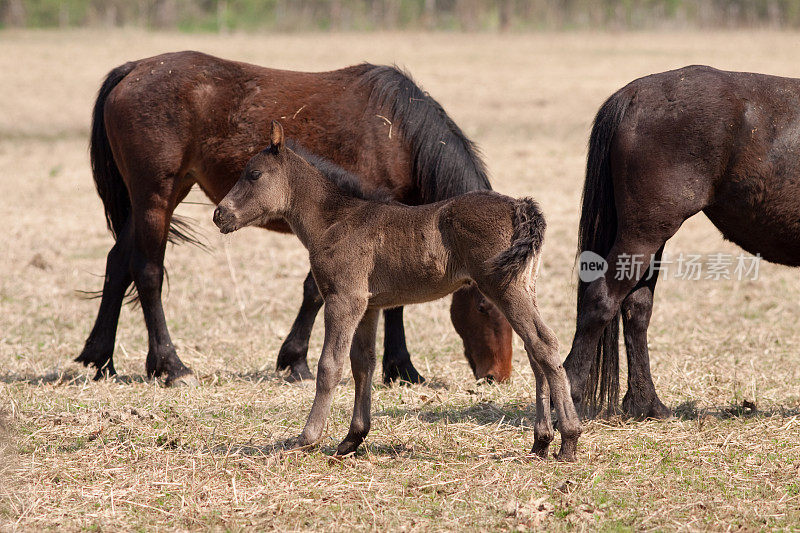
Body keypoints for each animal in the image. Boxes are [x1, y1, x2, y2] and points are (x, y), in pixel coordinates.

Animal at [76, 53, 512, 386]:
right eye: (485, 307)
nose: (499, 376)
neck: (397, 135)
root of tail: (133, 69)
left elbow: (390, 298)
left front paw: (400, 368)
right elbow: (317, 291)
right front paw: (297, 359)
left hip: (154, 199)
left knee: (118, 265)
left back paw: (100, 359)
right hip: (155, 197)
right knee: (147, 272)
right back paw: (171, 365)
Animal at [209, 122, 580, 460]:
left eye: (254, 174)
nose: (219, 214)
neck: (334, 220)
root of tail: (520, 207)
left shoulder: (344, 300)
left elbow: (330, 366)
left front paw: (306, 439)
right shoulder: (368, 305)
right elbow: (363, 365)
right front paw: (351, 440)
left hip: (504, 288)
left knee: (544, 346)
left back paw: (569, 440)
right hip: (523, 287)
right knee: (535, 352)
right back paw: (541, 442)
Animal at [564, 64, 800, 418]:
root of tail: (633, 94)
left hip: (649, 238)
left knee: (636, 309)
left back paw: (646, 404)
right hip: (643, 235)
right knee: (601, 300)